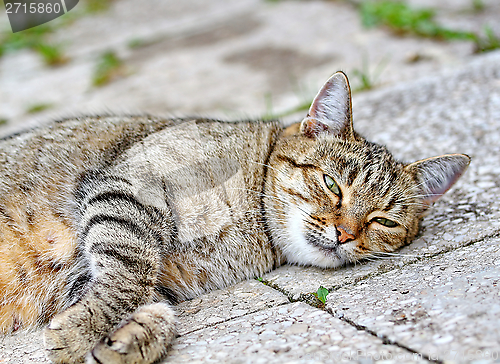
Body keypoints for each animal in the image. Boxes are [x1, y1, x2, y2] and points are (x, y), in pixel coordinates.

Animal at [0, 70, 468, 362]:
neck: (253, 227)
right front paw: (81, 332)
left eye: (383, 222)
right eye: (332, 184)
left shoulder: (132, 257)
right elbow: (126, 278)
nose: (344, 234)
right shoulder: (131, 190)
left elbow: (140, 293)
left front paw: (134, 335)